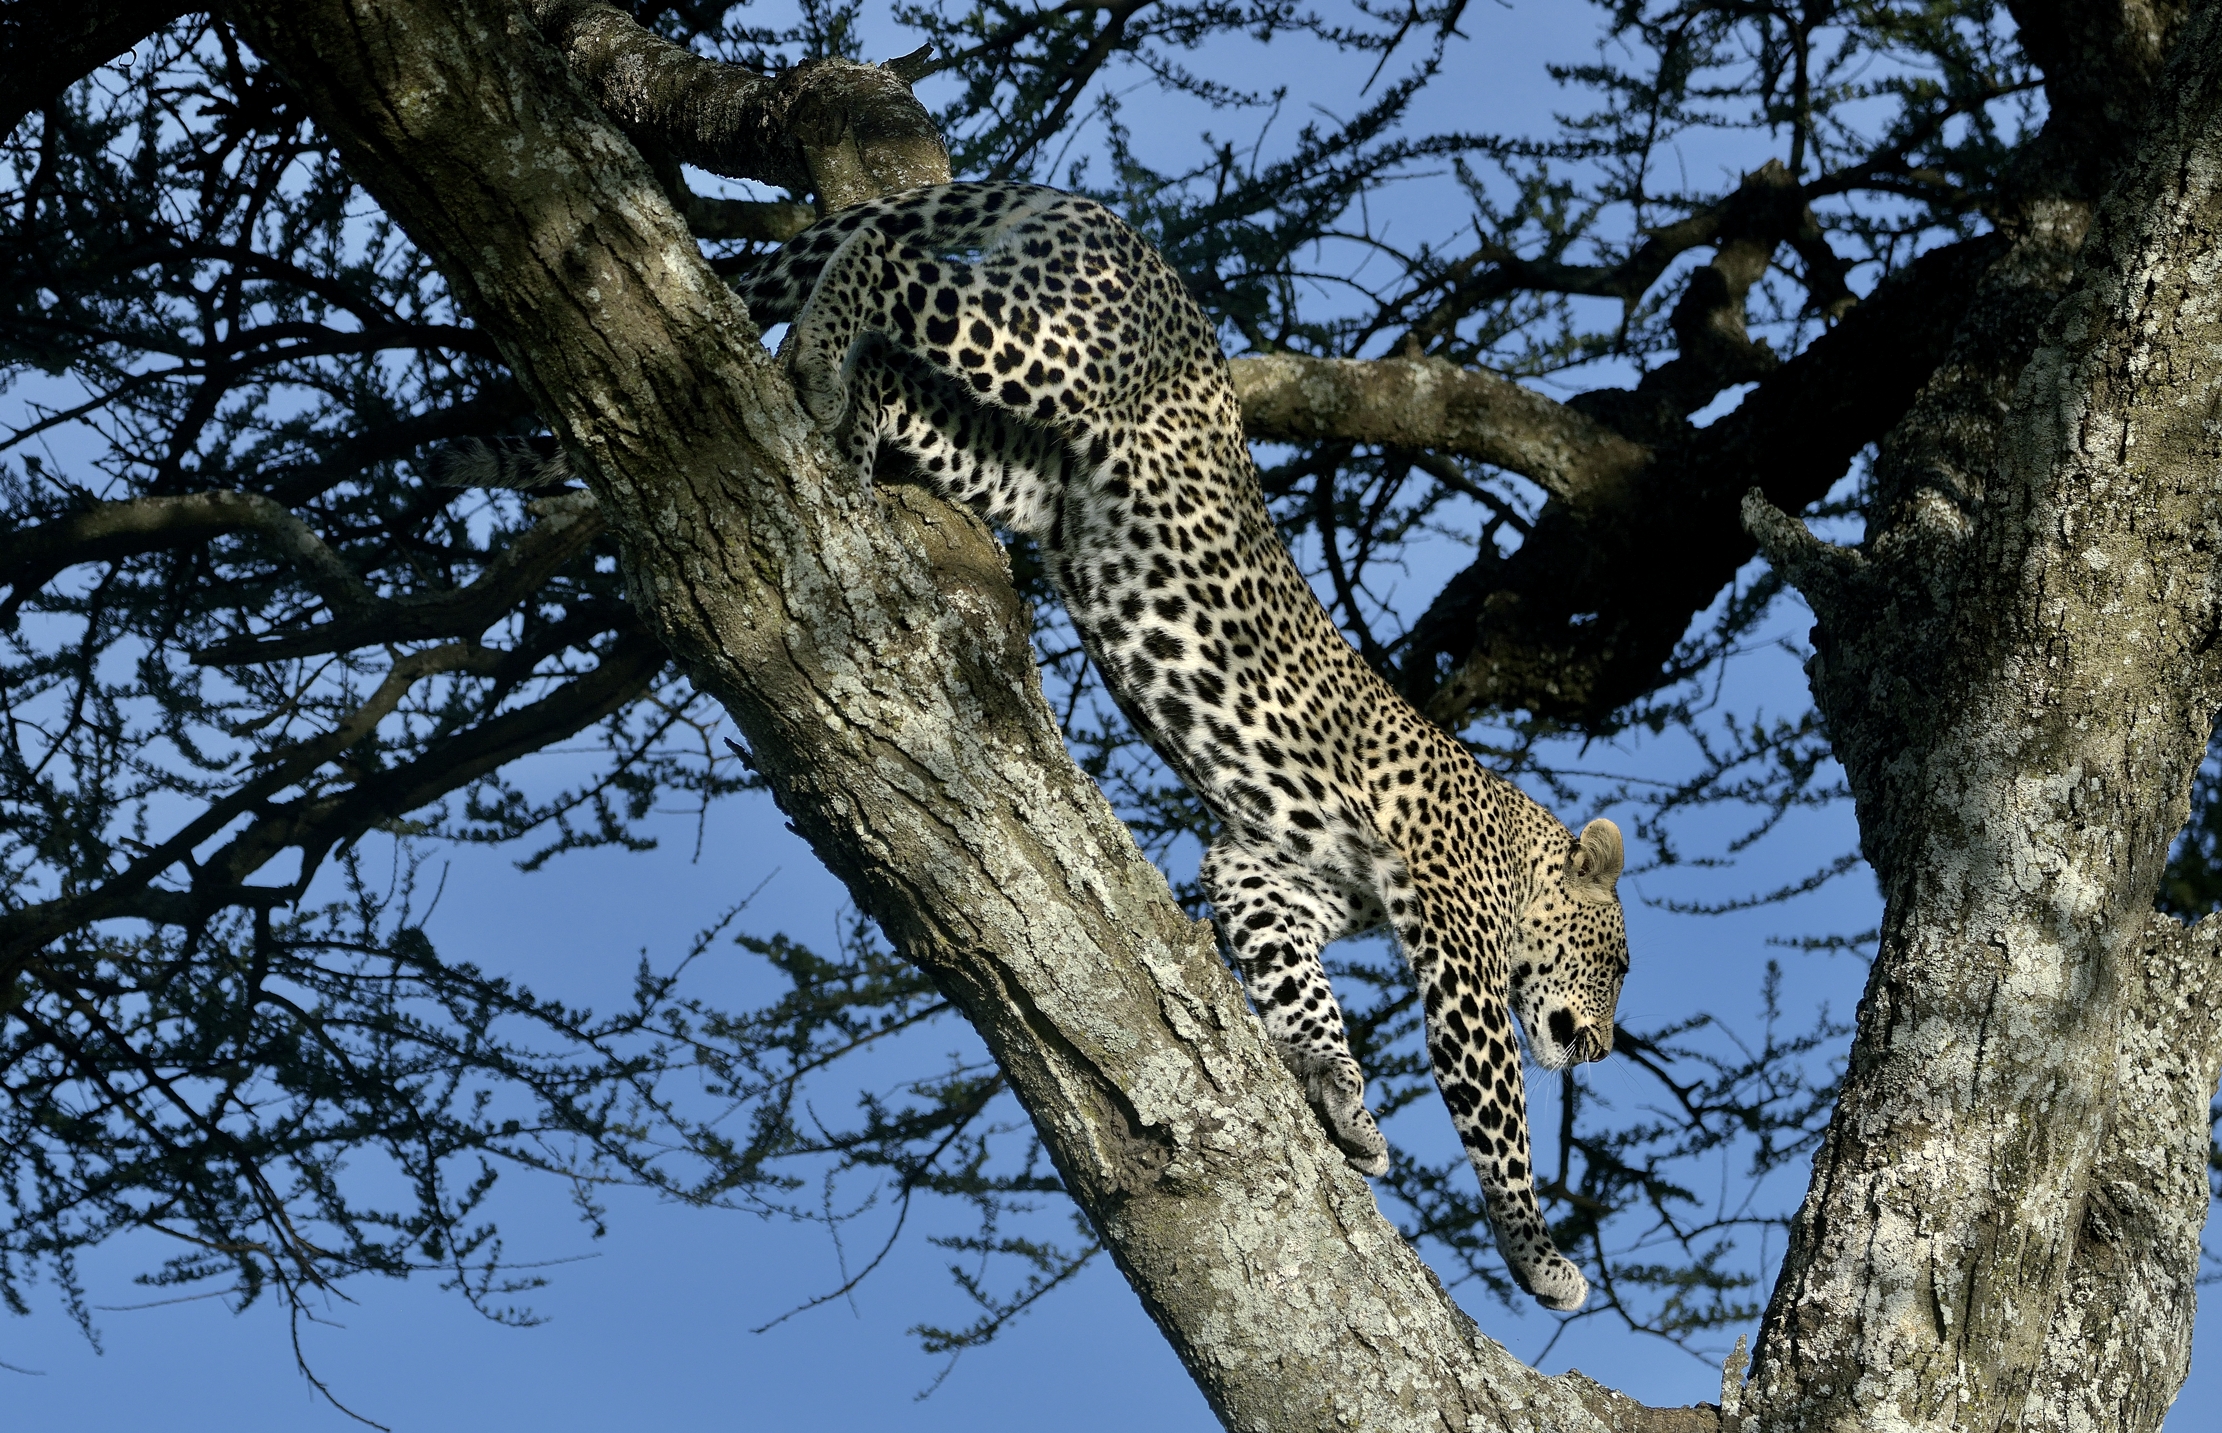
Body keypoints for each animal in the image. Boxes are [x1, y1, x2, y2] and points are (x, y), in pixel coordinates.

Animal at [448, 181, 1630, 1311]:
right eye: (1615, 964)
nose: (1601, 1047)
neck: (1514, 845)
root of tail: (1116, 223)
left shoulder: (1265, 869)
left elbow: (1297, 986)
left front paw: (1341, 1096)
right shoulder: (1459, 960)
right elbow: (1499, 1117)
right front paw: (1542, 1259)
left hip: (1032, 464)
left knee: (902, 384)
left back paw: (838, 422)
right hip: (1045, 351)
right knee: (883, 264)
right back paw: (816, 357)